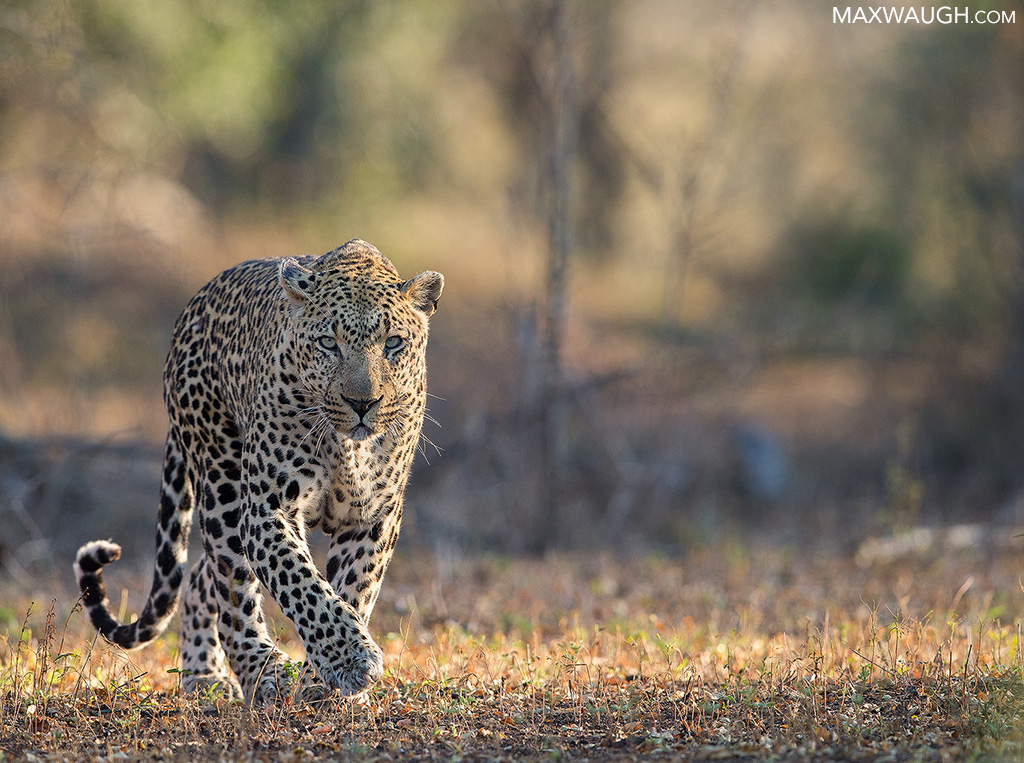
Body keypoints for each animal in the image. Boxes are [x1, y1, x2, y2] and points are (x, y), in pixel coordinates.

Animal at [74, 239, 443, 705]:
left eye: (393, 343)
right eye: (328, 343)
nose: (363, 403)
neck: (346, 446)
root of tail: (190, 311)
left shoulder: (373, 517)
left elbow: (355, 590)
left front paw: (325, 683)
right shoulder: (268, 510)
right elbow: (303, 585)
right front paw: (349, 660)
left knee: (203, 576)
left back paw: (207, 673)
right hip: (223, 485)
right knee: (231, 594)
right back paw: (255, 674)